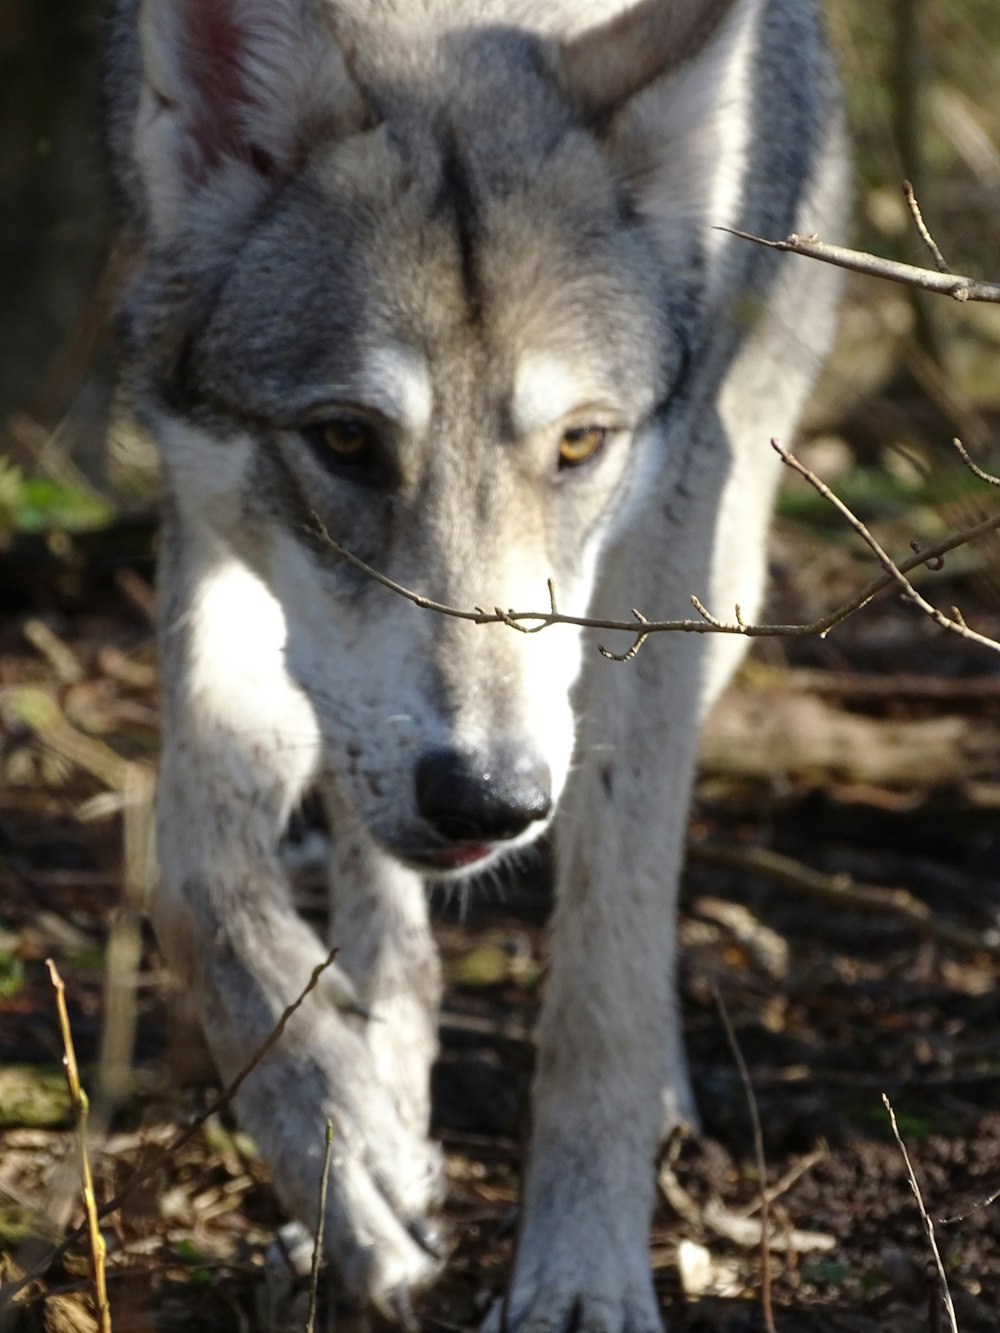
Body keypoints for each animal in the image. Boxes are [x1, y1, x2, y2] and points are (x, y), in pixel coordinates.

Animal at [108, 0, 848, 1327]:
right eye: (345, 439)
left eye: (582, 443)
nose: (489, 799)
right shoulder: (214, 520)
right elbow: (195, 878)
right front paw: (348, 1151)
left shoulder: (662, 556)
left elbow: (605, 965)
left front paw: (582, 1273)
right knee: (368, 867)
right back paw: (384, 1073)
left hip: (729, 586)